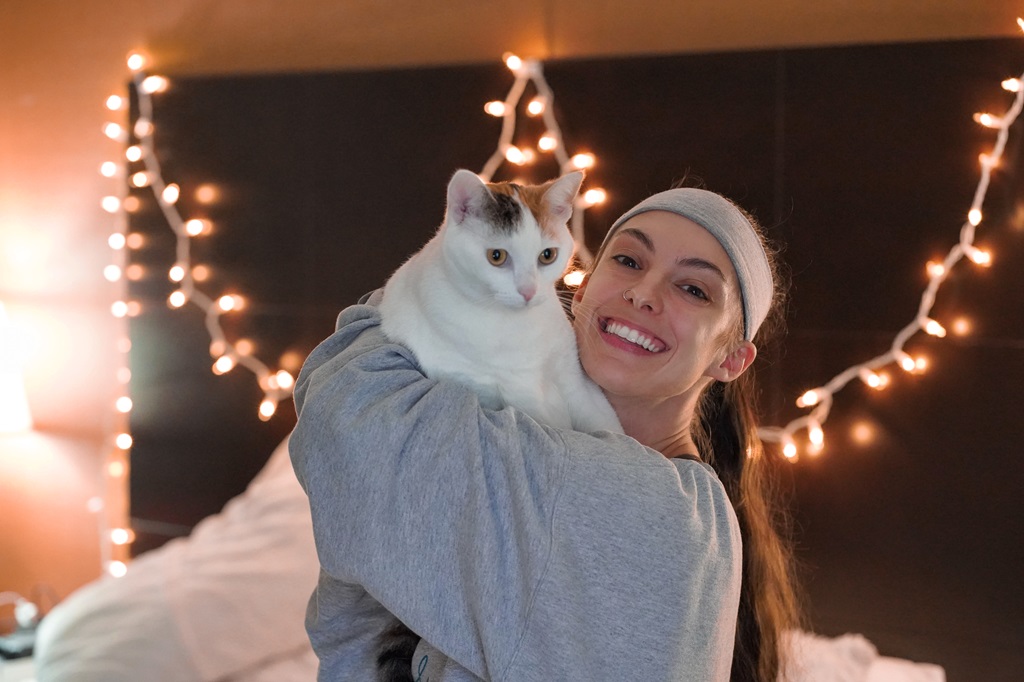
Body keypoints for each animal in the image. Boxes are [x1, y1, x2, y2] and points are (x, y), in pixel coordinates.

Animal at [372, 166, 618, 675]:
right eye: (497, 256)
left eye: (547, 255)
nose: (528, 291)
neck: (517, 330)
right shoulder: (517, 393)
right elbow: (551, 425)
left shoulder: (574, 376)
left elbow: (604, 419)